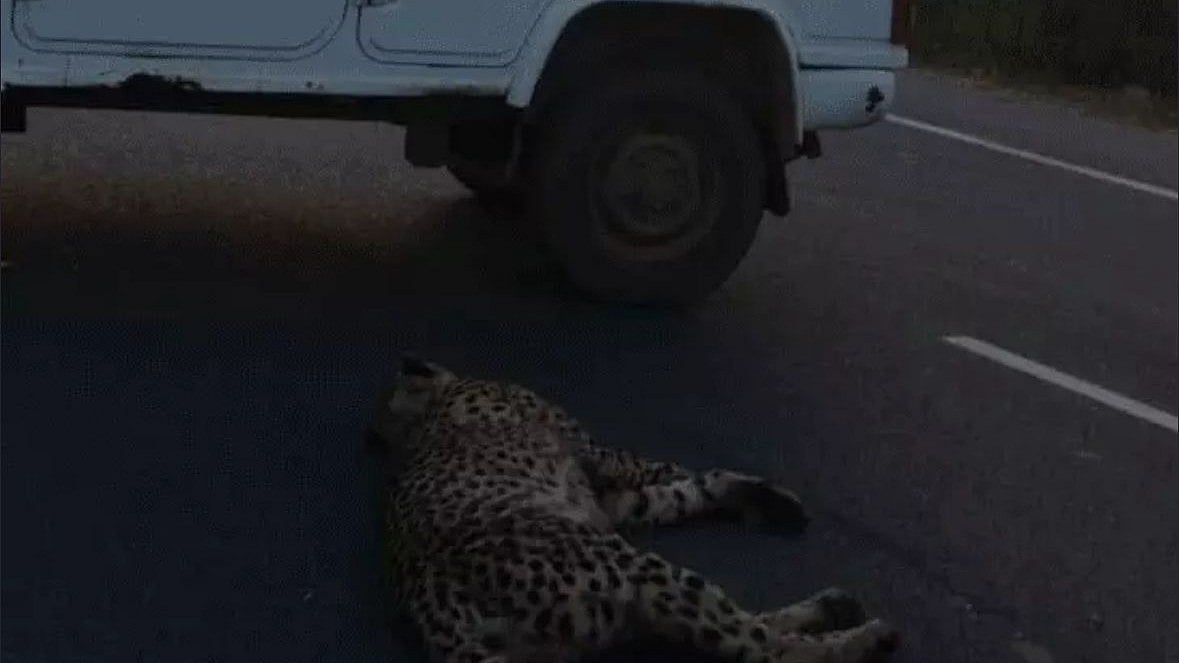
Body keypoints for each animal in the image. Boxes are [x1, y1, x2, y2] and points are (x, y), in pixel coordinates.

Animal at [366, 356, 900, 663]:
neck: (418, 421)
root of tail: (433, 603)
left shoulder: (609, 500)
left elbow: (687, 489)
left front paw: (759, 499)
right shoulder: (597, 458)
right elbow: (675, 471)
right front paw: (754, 491)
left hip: (597, 623)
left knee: (742, 631)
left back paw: (832, 607)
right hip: (637, 574)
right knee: (766, 649)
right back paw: (863, 637)